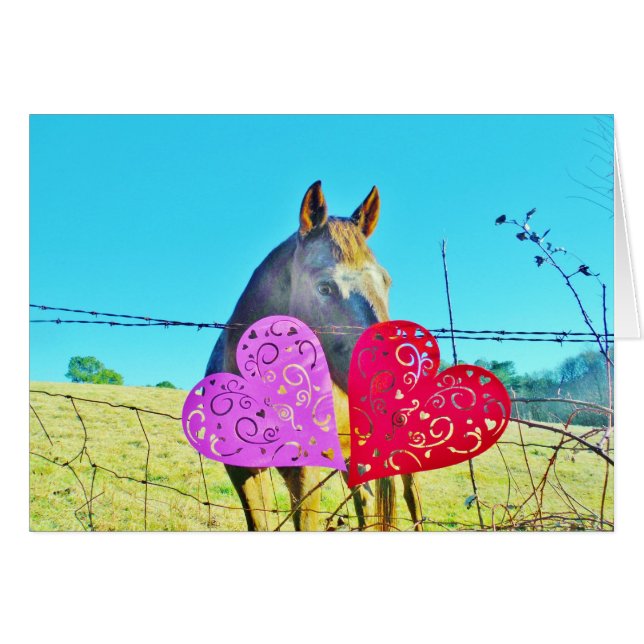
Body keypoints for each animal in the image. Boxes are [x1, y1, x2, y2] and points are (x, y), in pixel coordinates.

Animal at [205, 181, 423, 531]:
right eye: (324, 288)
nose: (393, 384)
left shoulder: (304, 476)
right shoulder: (242, 473)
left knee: (411, 496)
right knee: (364, 500)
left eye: (386, 281)